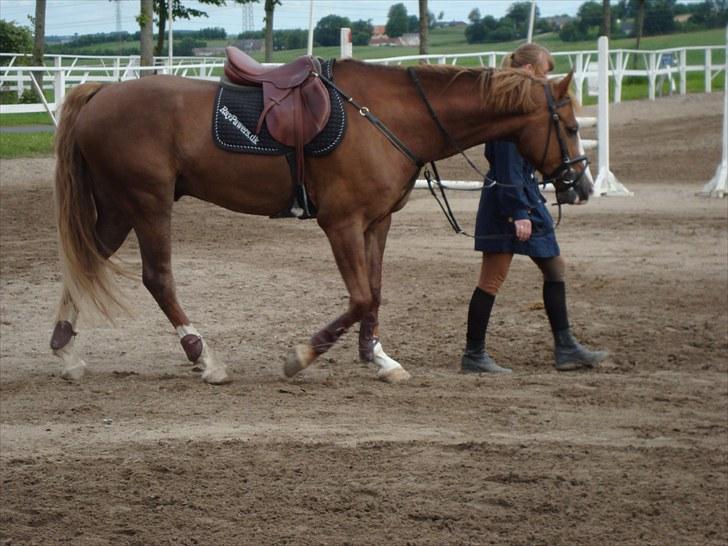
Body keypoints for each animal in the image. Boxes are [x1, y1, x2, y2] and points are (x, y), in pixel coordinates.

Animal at [51, 59, 588, 382]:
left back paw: (65, 351)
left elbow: (375, 292)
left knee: (87, 263)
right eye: (570, 126)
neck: (390, 115)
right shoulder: (341, 223)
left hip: (118, 208)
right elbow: (360, 296)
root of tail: (102, 93)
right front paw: (302, 355)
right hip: (148, 204)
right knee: (158, 277)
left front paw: (378, 357)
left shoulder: (376, 223)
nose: (579, 185)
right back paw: (204, 357)